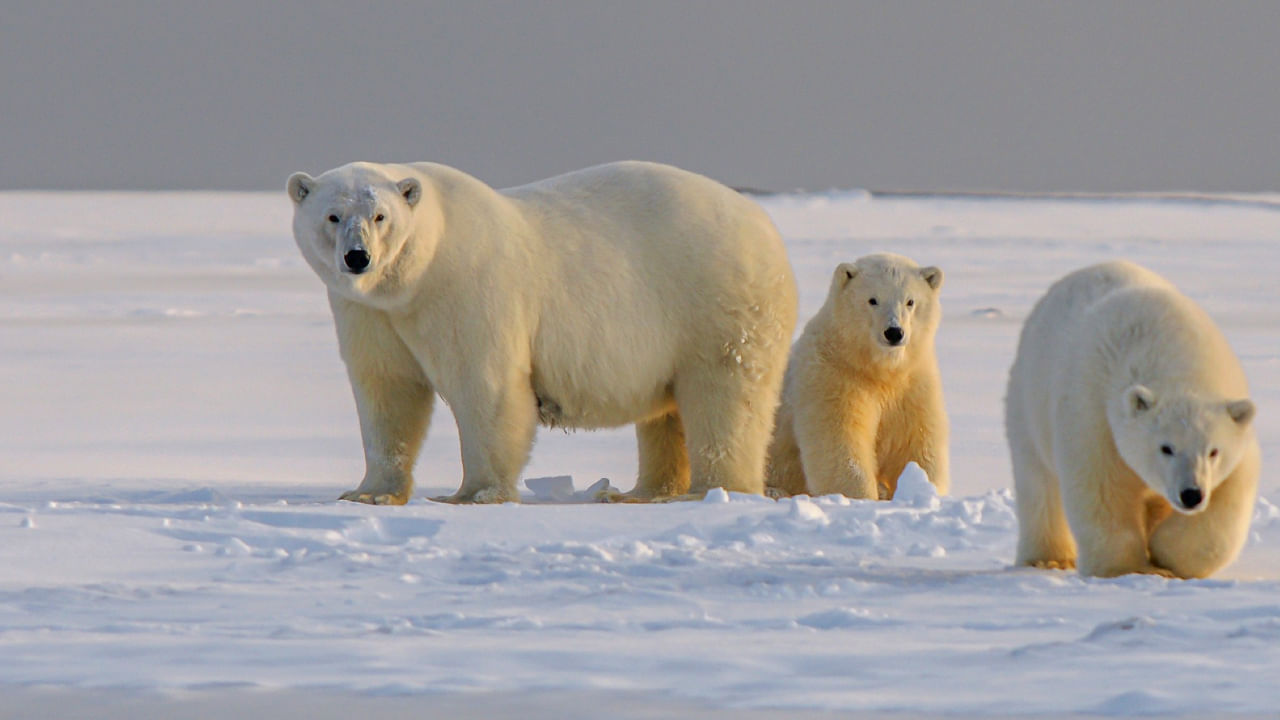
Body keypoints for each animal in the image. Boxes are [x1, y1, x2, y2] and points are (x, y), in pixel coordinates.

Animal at [285, 159, 793, 502]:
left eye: (380, 216)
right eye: (332, 216)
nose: (357, 258)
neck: (417, 276)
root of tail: (765, 225)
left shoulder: (468, 288)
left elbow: (485, 386)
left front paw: (472, 494)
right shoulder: (369, 313)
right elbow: (387, 391)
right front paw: (369, 492)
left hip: (714, 302)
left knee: (724, 397)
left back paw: (712, 490)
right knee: (666, 414)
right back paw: (641, 492)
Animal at [762, 253, 947, 499]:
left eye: (910, 301)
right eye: (872, 300)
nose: (894, 332)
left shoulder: (913, 383)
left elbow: (915, 442)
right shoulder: (833, 377)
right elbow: (841, 443)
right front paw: (862, 496)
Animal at [1003, 260, 1254, 573]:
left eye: (1213, 451)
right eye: (1166, 448)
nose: (1191, 495)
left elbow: (1230, 496)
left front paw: (1165, 554)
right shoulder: (1094, 412)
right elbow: (1102, 486)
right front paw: (1125, 568)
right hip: (1028, 401)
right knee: (1038, 483)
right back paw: (1048, 558)